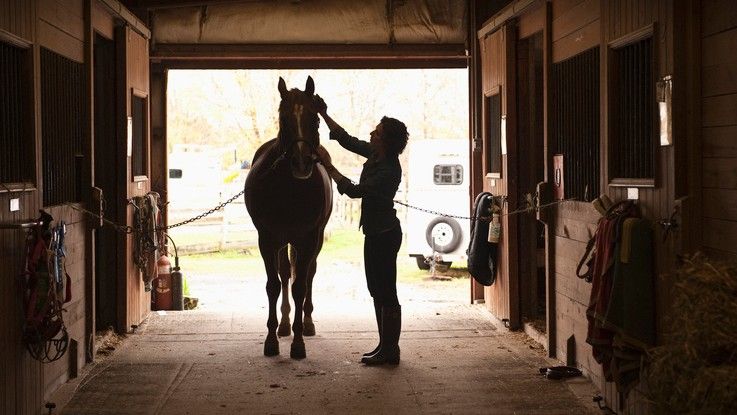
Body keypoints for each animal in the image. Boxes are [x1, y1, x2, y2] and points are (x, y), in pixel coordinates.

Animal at [244, 76, 332, 359]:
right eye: (283, 118)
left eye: (315, 119)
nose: (302, 163)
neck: (290, 190)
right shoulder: (267, 239)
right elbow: (274, 285)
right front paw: (272, 340)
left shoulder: (308, 240)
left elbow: (300, 287)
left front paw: (299, 343)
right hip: (282, 242)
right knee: (284, 274)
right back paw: (283, 326)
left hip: (313, 241)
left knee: (308, 275)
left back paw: (307, 323)